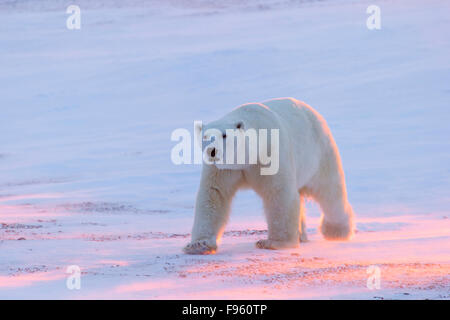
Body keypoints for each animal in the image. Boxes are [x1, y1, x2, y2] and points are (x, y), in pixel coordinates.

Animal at [183, 97, 356, 255]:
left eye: (225, 135)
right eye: (205, 136)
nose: (212, 151)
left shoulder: (270, 153)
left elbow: (279, 191)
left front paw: (273, 242)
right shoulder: (221, 169)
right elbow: (214, 195)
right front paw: (198, 244)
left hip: (319, 154)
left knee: (329, 192)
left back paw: (336, 230)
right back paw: (301, 235)